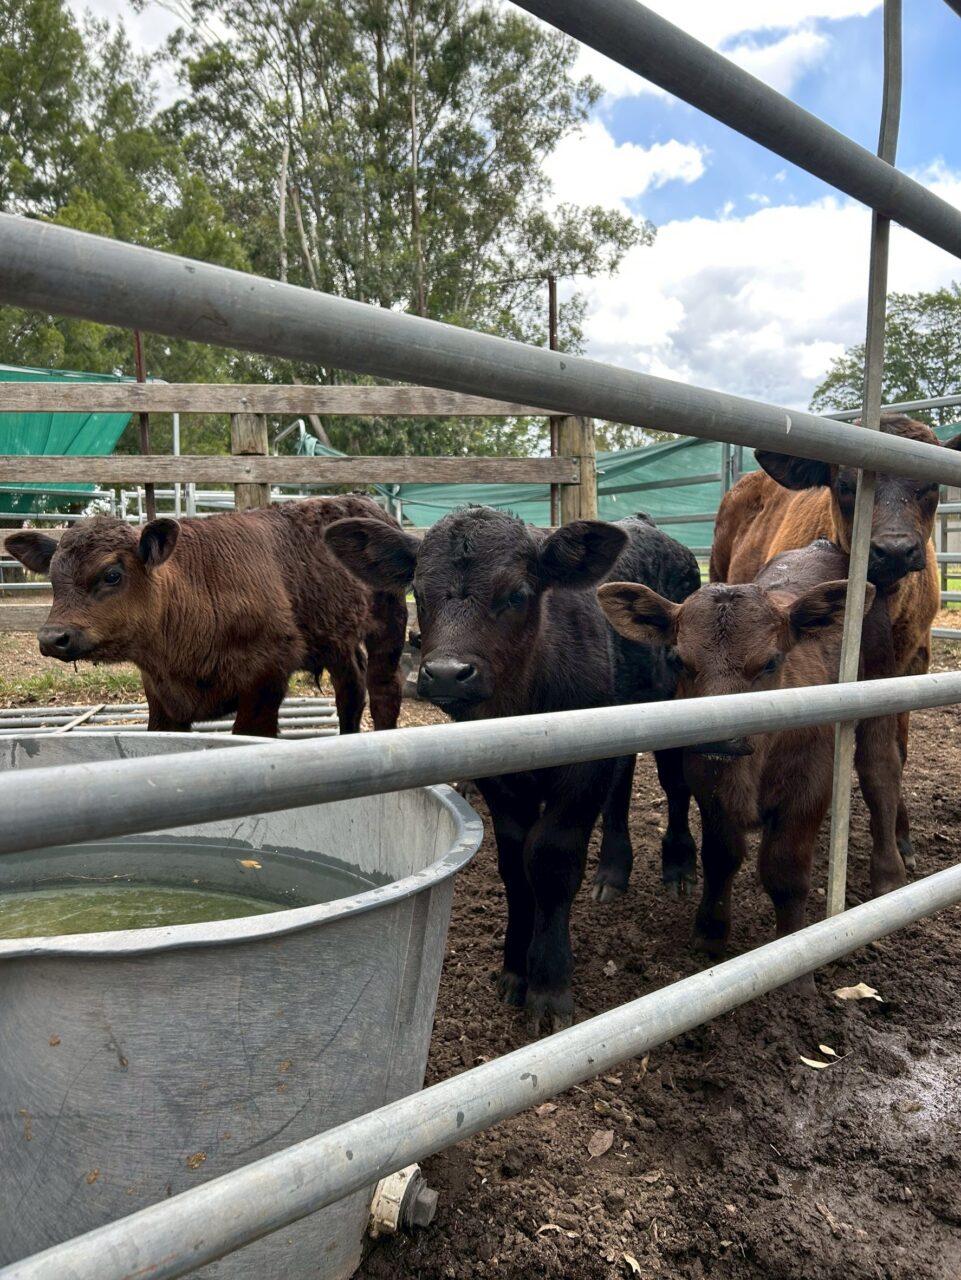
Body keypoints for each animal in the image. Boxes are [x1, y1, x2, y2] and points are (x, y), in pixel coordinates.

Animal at [5, 496, 408, 738]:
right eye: (52, 577)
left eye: (112, 574)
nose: (53, 637)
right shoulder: (161, 697)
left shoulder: (266, 678)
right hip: (336, 637)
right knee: (350, 688)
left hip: (389, 624)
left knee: (383, 689)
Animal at [324, 506, 702, 1033]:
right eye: (419, 590)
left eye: (517, 593)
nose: (446, 673)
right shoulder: (498, 779)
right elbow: (514, 865)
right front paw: (515, 971)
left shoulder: (581, 769)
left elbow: (551, 861)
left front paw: (549, 985)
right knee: (622, 783)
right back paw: (612, 871)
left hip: (674, 695)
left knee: (674, 779)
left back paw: (680, 867)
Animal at [599, 540, 894, 967]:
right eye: (678, 660)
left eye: (770, 662)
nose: (722, 737)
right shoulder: (709, 787)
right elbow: (721, 858)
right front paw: (710, 933)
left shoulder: (809, 788)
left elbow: (785, 873)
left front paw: (797, 963)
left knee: (882, 772)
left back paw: (890, 873)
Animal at [710, 414, 961, 880]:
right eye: (845, 485)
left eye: (930, 484)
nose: (894, 550)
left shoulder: (912, 664)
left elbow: (894, 753)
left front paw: (902, 839)